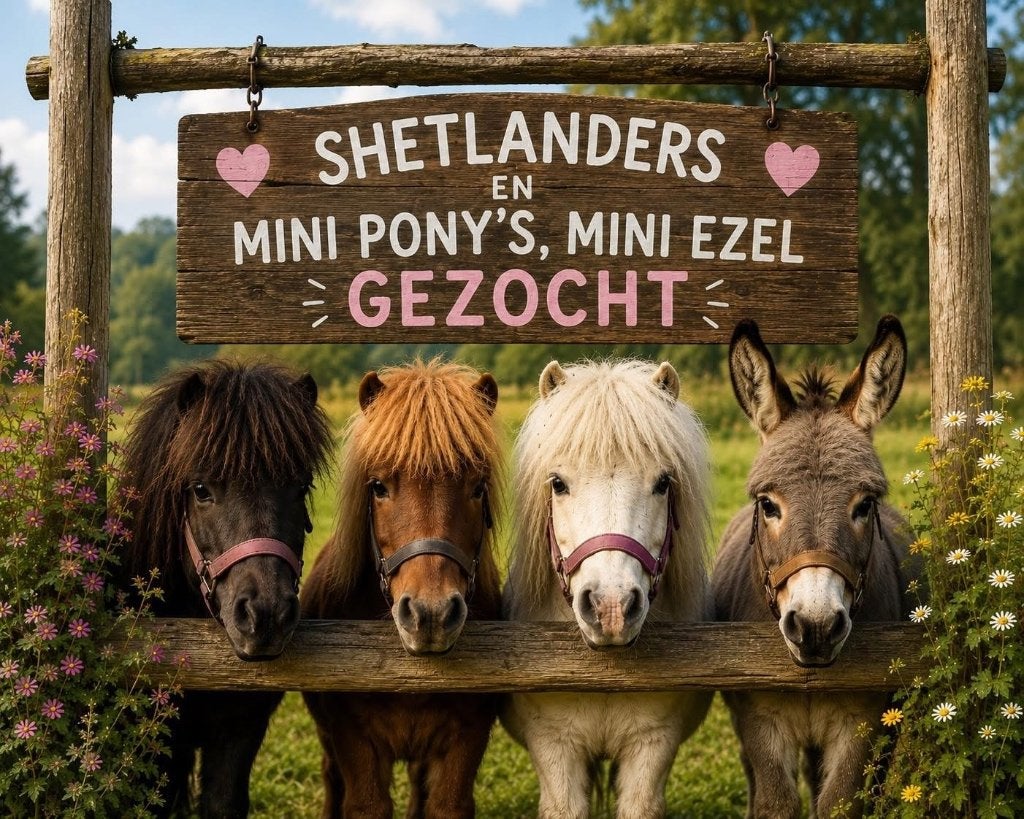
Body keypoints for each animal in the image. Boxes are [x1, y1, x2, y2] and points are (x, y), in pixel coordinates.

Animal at [301, 360, 503, 819]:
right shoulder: (352, 739)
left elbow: (444, 803)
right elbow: (364, 803)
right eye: (378, 486)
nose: (430, 614)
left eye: (477, 487)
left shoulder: (466, 738)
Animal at [711, 315, 916, 819]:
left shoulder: (862, 724)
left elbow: (840, 803)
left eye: (865, 504)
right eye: (768, 504)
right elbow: (775, 803)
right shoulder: (760, 720)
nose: (816, 626)